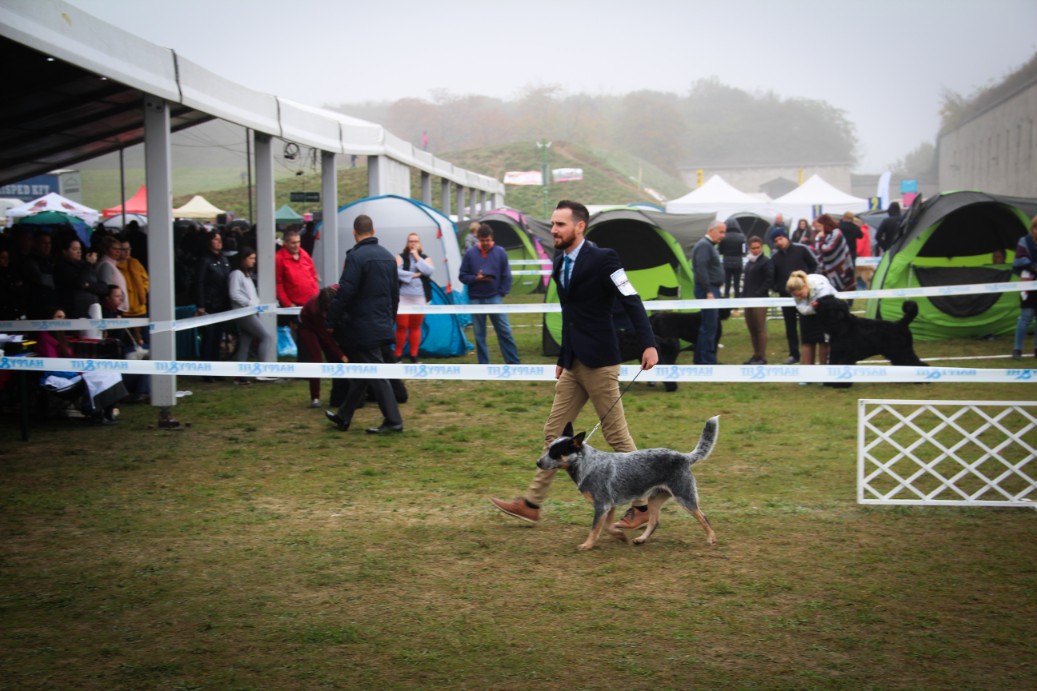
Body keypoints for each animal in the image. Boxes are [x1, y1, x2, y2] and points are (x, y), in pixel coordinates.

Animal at [536, 416, 719, 550]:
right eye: (548, 449)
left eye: (555, 453)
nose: (537, 463)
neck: (586, 463)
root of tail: (683, 457)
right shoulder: (609, 506)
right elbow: (608, 526)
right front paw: (620, 535)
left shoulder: (602, 505)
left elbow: (595, 528)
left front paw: (587, 545)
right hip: (654, 499)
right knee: (654, 521)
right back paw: (641, 539)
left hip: (684, 497)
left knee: (704, 517)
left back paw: (712, 538)